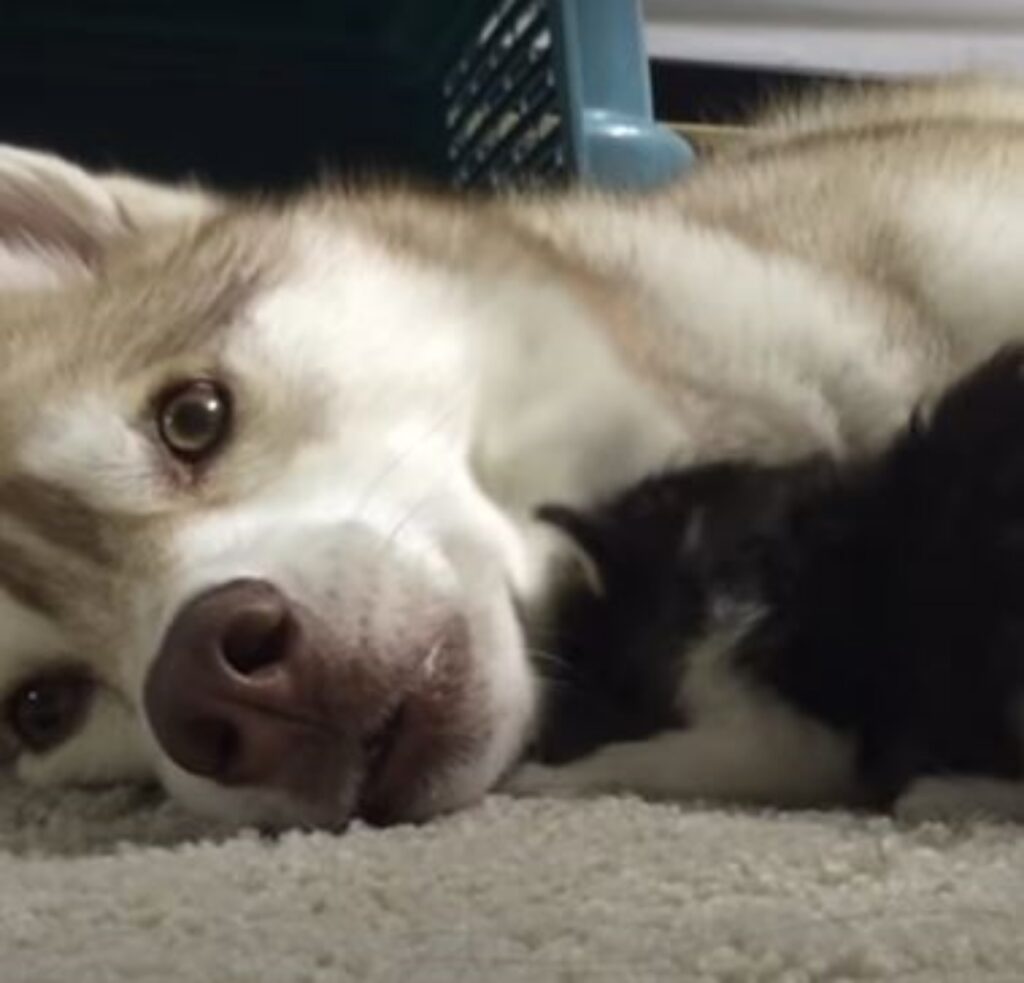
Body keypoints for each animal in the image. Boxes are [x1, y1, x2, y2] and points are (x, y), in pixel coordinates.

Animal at [512, 348, 1024, 823]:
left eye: (587, 676)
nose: (539, 742)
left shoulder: (800, 731)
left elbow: (666, 757)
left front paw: (542, 778)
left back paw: (937, 794)